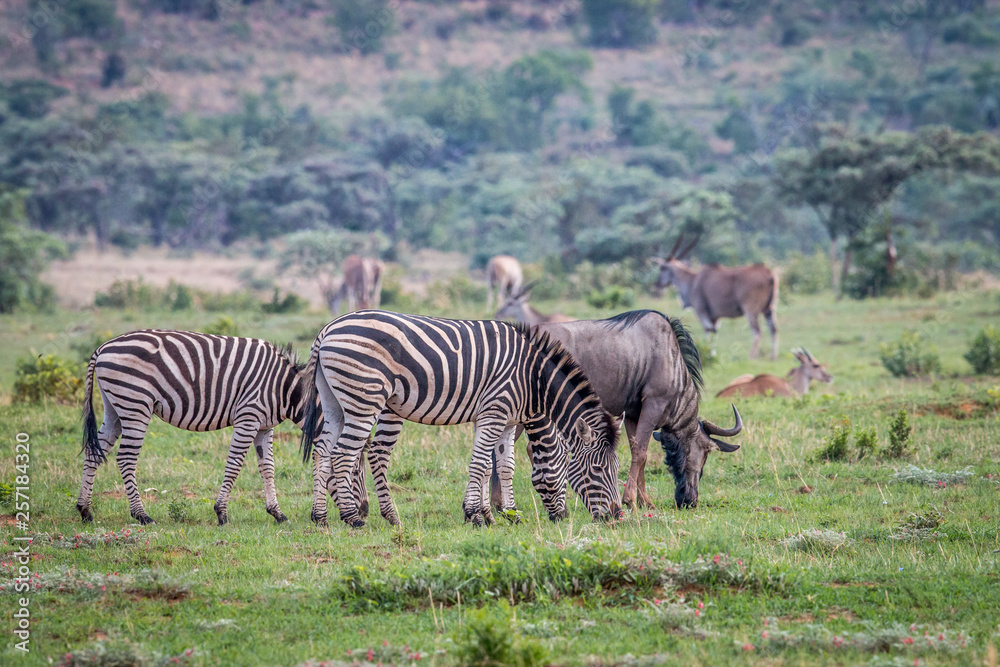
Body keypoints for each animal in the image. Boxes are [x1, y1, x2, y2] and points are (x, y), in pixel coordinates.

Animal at [78, 329, 366, 525]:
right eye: (354, 473)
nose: (364, 512)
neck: (285, 389)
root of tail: (102, 347)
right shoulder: (248, 417)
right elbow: (235, 464)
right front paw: (221, 513)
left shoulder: (264, 426)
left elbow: (268, 468)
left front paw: (277, 513)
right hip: (135, 405)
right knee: (126, 458)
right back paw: (141, 515)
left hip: (115, 408)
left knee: (95, 453)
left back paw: (85, 510)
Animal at [300, 310, 622, 528]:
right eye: (596, 469)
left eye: (617, 468)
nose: (617, 516)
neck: (534, 379)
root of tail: (327, 329)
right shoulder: (495, 411)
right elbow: (480, 464)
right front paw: (476, 516)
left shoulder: (501, 419)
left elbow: (502, 467)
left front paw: (503, 515)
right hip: (364, 400)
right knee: (344, 454)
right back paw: (353, 517)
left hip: (334, 402)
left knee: (323, 451)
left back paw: (321, 516)